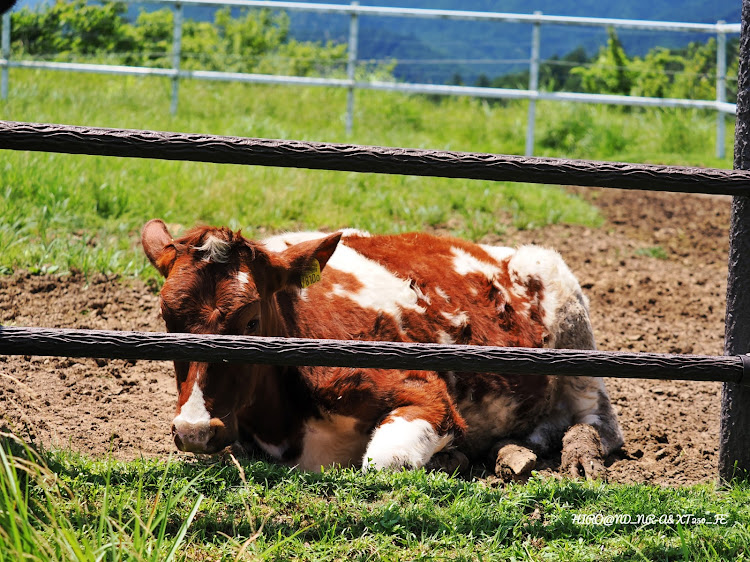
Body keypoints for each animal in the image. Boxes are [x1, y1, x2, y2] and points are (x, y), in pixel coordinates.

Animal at [141, 219, 624, 476]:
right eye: (167, 319)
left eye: (251, 320)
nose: (194, 430)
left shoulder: (427, 393)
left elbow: (384, 460)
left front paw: (450, 457)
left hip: (572, 327)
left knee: (597, 420)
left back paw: (574, 450)